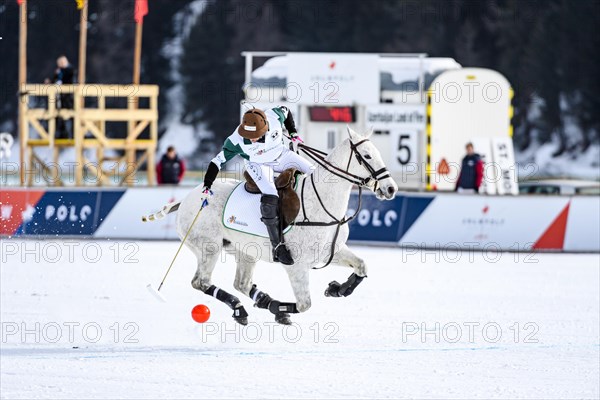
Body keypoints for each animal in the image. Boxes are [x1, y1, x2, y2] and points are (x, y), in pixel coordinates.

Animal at [155, 128, 398, 324]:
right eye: (366, 155)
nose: (390, 189)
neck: (325, 205)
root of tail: (186, 199)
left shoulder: (332, 251)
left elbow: (362, 266)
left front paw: (337, 288)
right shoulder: (297, 266)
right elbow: (305, 304)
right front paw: (279, 310)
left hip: (245, 251)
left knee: (241, 283)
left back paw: (258, 302)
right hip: (209, 248)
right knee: (201, 282)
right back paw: (244, 308)